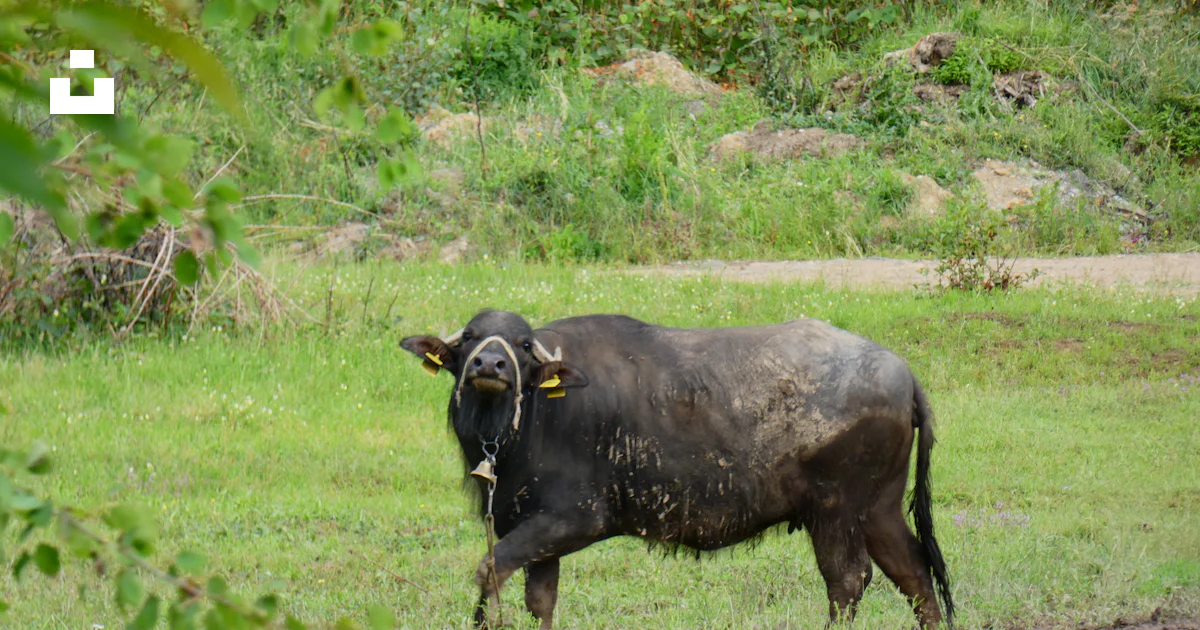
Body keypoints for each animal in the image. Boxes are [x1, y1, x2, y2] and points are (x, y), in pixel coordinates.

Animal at [400, 309, 955, 630]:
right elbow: (540, 599)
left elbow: (490, 569)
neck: (529, 420)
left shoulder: (574, 519)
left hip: (836, 512)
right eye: (470, 339)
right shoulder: (534, 531)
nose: (488, 366)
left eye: (520, 344)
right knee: (914, 572)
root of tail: (903, 373)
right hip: (878, 508)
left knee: (847, 581)